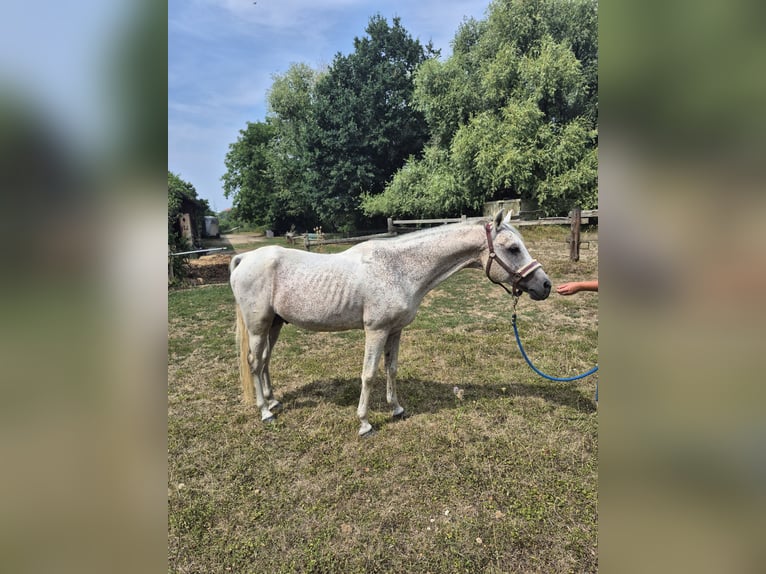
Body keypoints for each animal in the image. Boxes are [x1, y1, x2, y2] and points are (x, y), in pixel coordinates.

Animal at [229, 210, 551, 436]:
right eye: (513, 248)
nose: (545, 285)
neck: (398, 268)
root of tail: (244, 258)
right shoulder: (376, 331)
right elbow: (369, 374)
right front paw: (364, 423)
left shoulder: (395, 330)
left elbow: (391, 369)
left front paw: (396, 409)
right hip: (258, 326)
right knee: (255, 363)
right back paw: (265, 412)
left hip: (274, 325)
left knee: (266, 361)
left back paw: (273, 401)